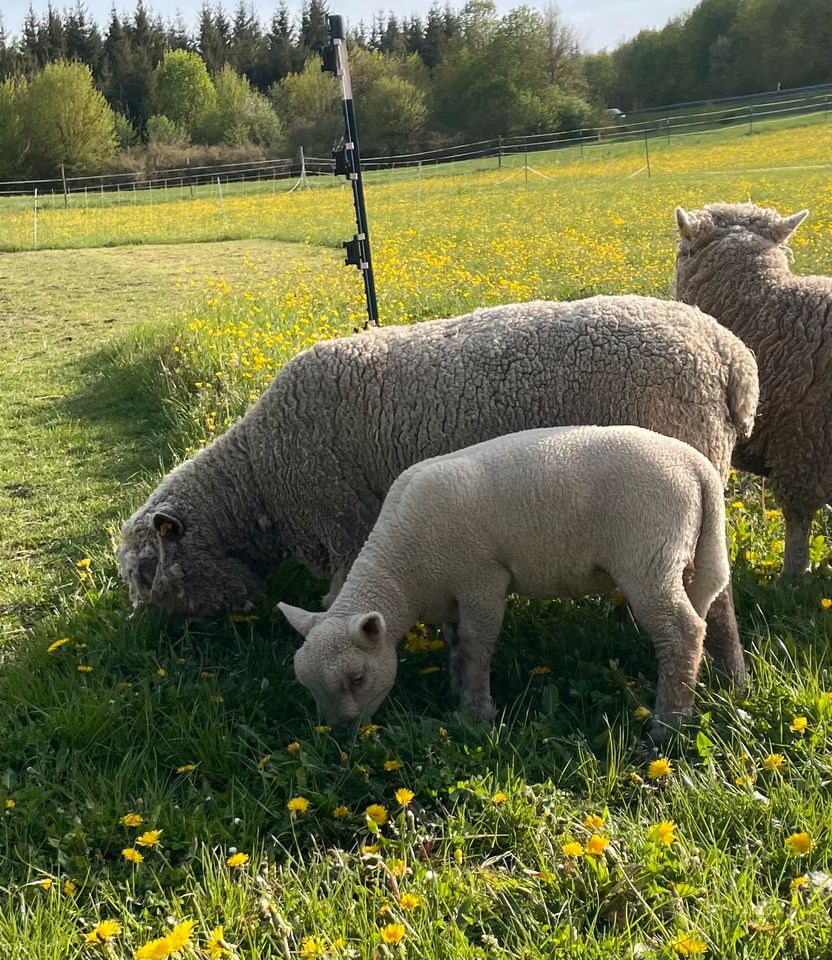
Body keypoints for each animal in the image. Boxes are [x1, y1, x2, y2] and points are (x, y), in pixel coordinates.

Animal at [118, 292, 760, 684]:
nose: (189, 640)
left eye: (155, 577)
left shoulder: (345, 527)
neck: (258, 481)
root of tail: (729, 355)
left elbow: (343, 602)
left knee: (712, 598)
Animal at [278, 424, 728, 740]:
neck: (403, 569)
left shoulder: (481, 578)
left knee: (682, 631)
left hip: (647, 556)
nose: (340, 735)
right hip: (684, 555)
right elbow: (456, 644)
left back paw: (667, 725)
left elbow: (476, 644)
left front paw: (477, 713)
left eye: (356, 678)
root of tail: (695, 465)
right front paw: (457, 691)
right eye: (307, 686)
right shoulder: (451, 594)